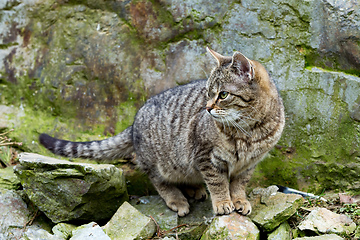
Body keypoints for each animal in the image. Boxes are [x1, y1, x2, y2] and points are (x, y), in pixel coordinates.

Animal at [39, 47, 286, 217]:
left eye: (223, 94)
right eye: (208, 93)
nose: (207, 108)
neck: (250, 130)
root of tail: (133, 122)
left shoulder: (249, 164)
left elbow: (239, 185)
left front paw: (239, 200)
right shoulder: (206, 156)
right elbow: (218, 182)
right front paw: (223, 202)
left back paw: (195, 189)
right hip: (161, 162)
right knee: (159, 181)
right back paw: (178, 199)